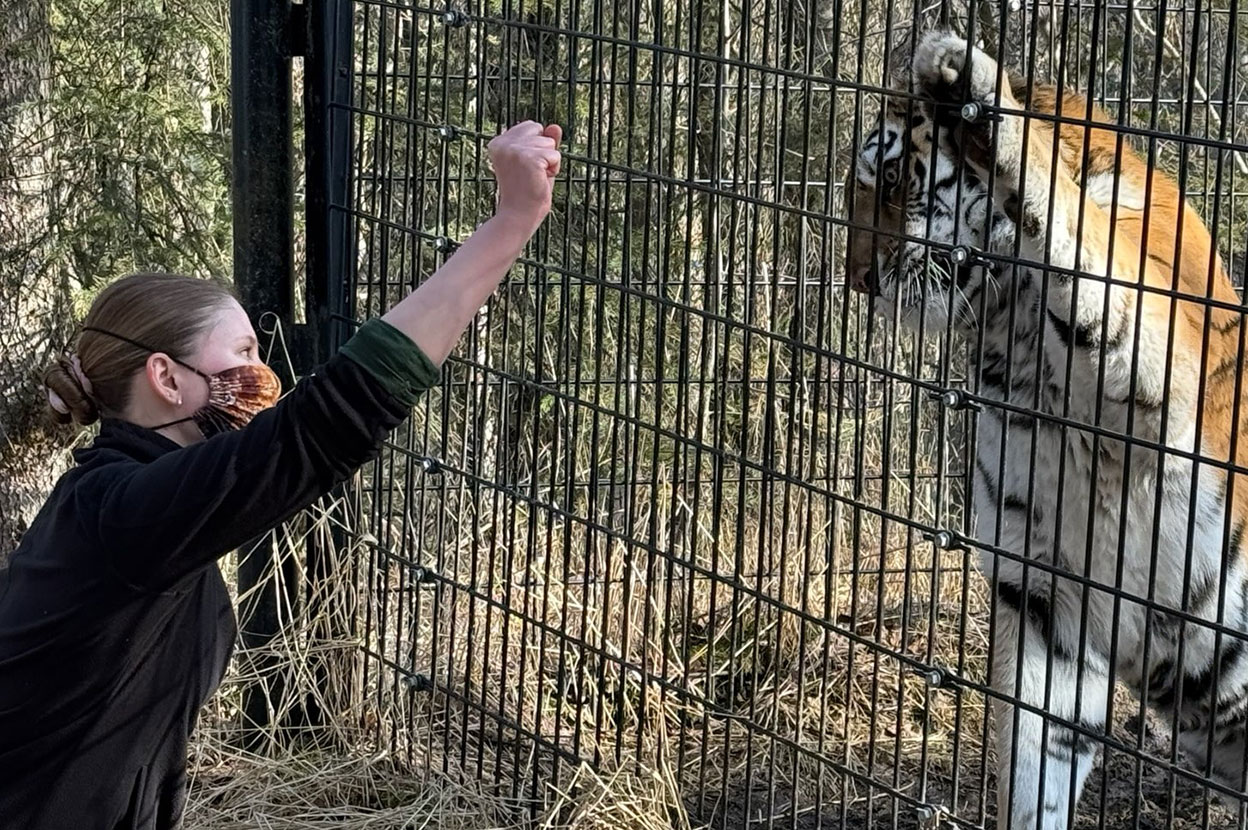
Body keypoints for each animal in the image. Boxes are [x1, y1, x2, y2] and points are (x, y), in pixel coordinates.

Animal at [845, 28, 1248, 830]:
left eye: (895, 183)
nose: (856, 279)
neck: (1018, 331)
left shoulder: (1160, 362)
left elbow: (1073, 237)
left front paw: (966, 84)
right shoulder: (1047, 597)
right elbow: (1035, 759)